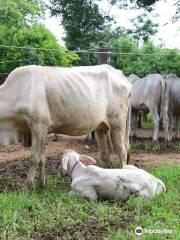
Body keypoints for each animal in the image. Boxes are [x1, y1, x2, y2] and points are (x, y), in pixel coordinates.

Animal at [0, 64, 132, 188]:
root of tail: (120, 74)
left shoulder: (38, 126)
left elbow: (34, 158)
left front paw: (29, 186)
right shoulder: (42, 131)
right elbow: (42, 158)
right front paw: (41, 184)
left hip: (118, 124)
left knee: (122, 151)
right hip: (102, 127)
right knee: (104, 154)